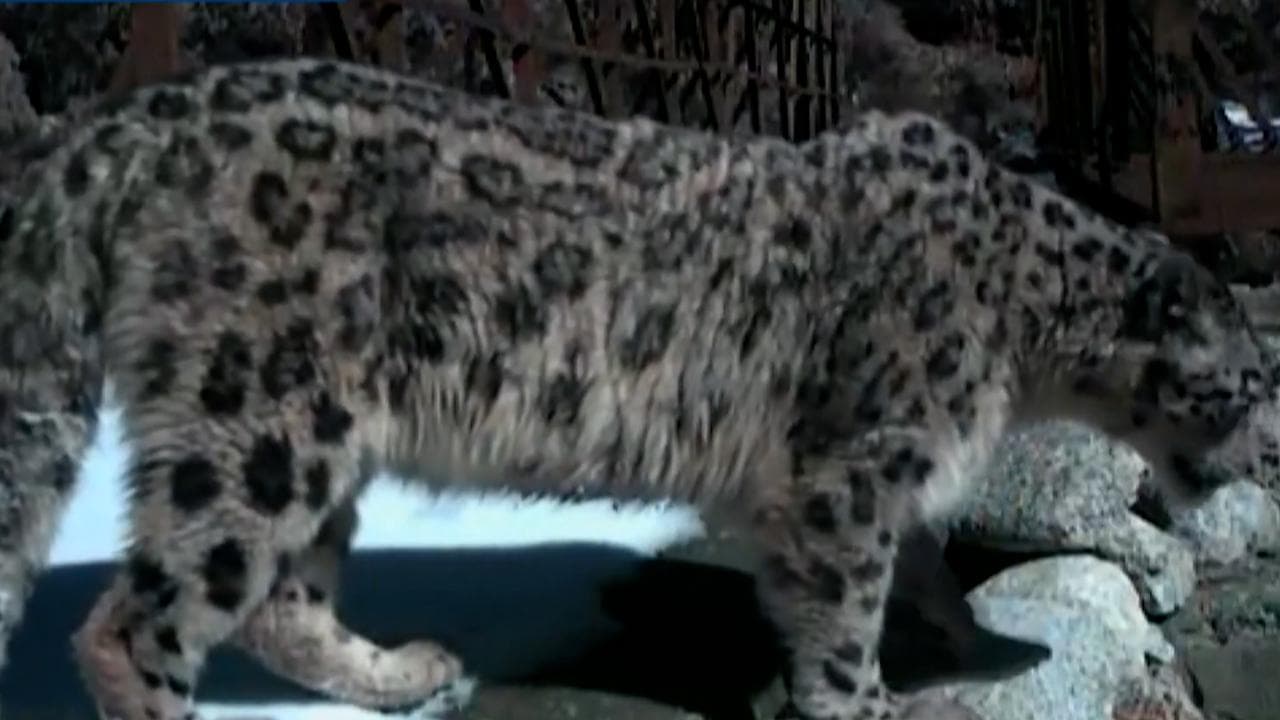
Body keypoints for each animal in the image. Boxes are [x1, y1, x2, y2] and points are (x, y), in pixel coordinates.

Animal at [0, 56, 1275, 720]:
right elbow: (842, 611)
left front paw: (959, 634)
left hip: (316, 439)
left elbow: (909, 564)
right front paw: (864, 702)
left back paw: (404, 672)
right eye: (1244, 386)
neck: (1023, 341)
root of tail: (137, 112)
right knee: (141, 619)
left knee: (279, 600)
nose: (1260, 458)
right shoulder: (848, 469)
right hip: (253, 417)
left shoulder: (858, 473)